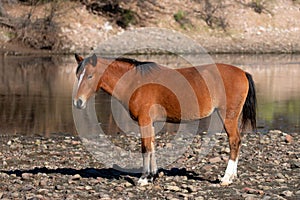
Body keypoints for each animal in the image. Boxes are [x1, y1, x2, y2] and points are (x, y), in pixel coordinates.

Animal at [72, 53, 255, 186]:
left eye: (90, 76)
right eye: (77, 75)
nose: (77, 102)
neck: (135, 81)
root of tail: (242, 73)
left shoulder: (144, 120)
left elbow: (145, 147)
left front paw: (144, 178)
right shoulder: (151, 122)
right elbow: (152, 146)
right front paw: (152, 175)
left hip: (228, 117)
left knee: (234, 141)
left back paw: (226, 178)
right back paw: (232, 176)